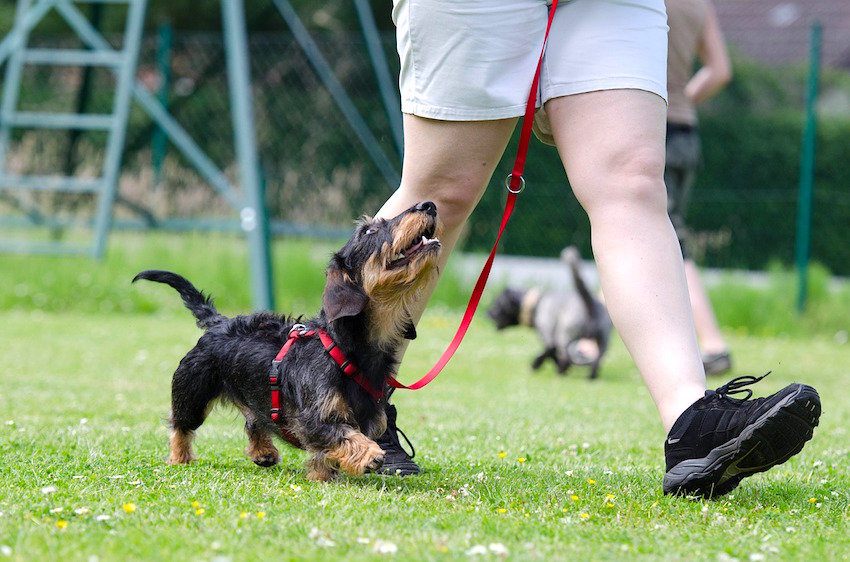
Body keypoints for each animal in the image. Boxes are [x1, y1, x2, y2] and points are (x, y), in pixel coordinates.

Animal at [484, 247, 608, 378]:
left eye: (496, 304)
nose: (487, 314)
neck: (536, 304)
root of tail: (590, 303)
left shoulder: (548, 336)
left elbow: (550, 352)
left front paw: (536, 364)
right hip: (602, 341)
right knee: (596, 360)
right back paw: (591, 376)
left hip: (565, 335)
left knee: (566, 356)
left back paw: (560, 371)